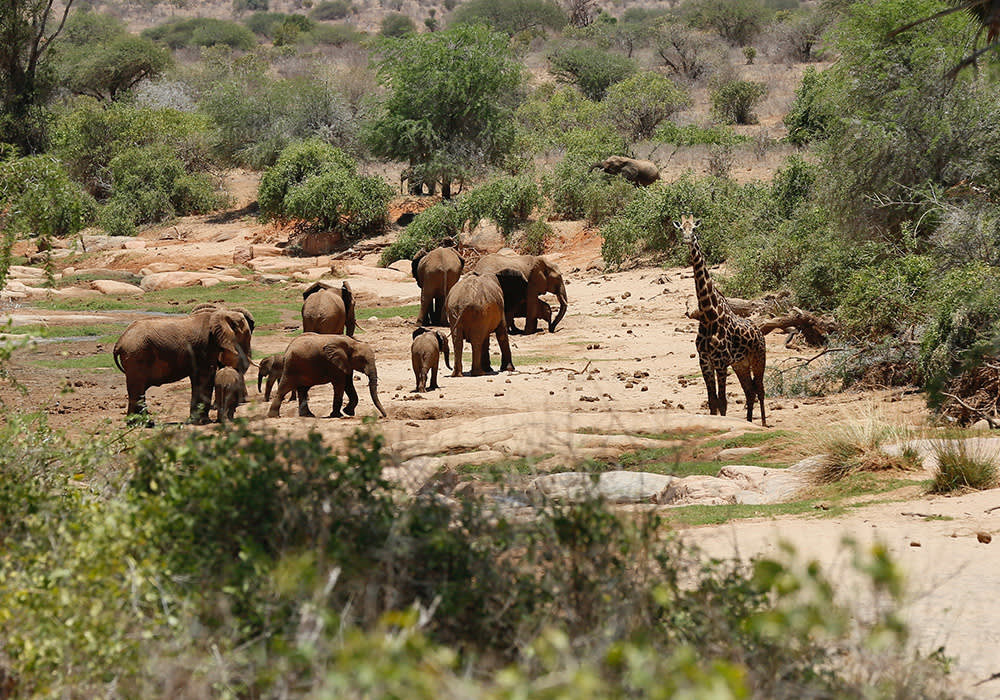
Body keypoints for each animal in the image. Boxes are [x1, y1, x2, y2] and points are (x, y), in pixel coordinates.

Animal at [113, 304, 254, 422]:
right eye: (247, 335)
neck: (220, 315)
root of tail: (119, 341)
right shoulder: (205, 346)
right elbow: (205, 377)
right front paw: (202, 422)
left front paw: (196, 421)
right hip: (136, 356)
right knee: (137, 388)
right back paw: (142, 423)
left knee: (137, 390)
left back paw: (140, 424)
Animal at [676, 212, 768, 426]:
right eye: (681, 228)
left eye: (694, 228)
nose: (687, 239)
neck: (709, 315)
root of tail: (760, 332)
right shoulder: (705, 361)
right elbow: (712, 402)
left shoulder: (720, 361)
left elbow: (723, 402)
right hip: (740, 364)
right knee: (749, 391)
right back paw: (749, 421)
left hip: (759, 358)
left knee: (760, 390)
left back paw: (763, 424)